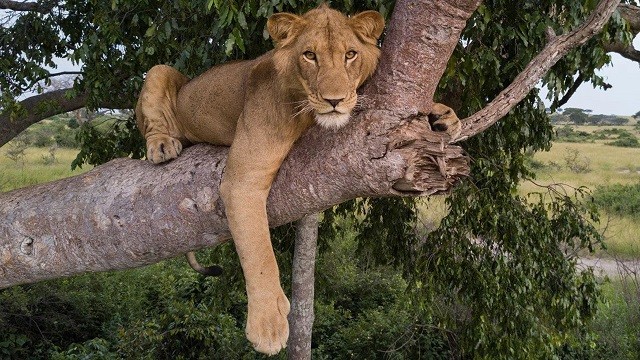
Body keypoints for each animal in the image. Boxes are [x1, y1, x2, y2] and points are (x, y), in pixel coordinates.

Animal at [135, 4, 460, 356]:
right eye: (309, 55)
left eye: (350, 54)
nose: (334, 100)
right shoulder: (243, 179)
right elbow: (259, 250)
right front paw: (267, 324)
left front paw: (443, 115)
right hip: (159, 71)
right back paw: (162, 145)